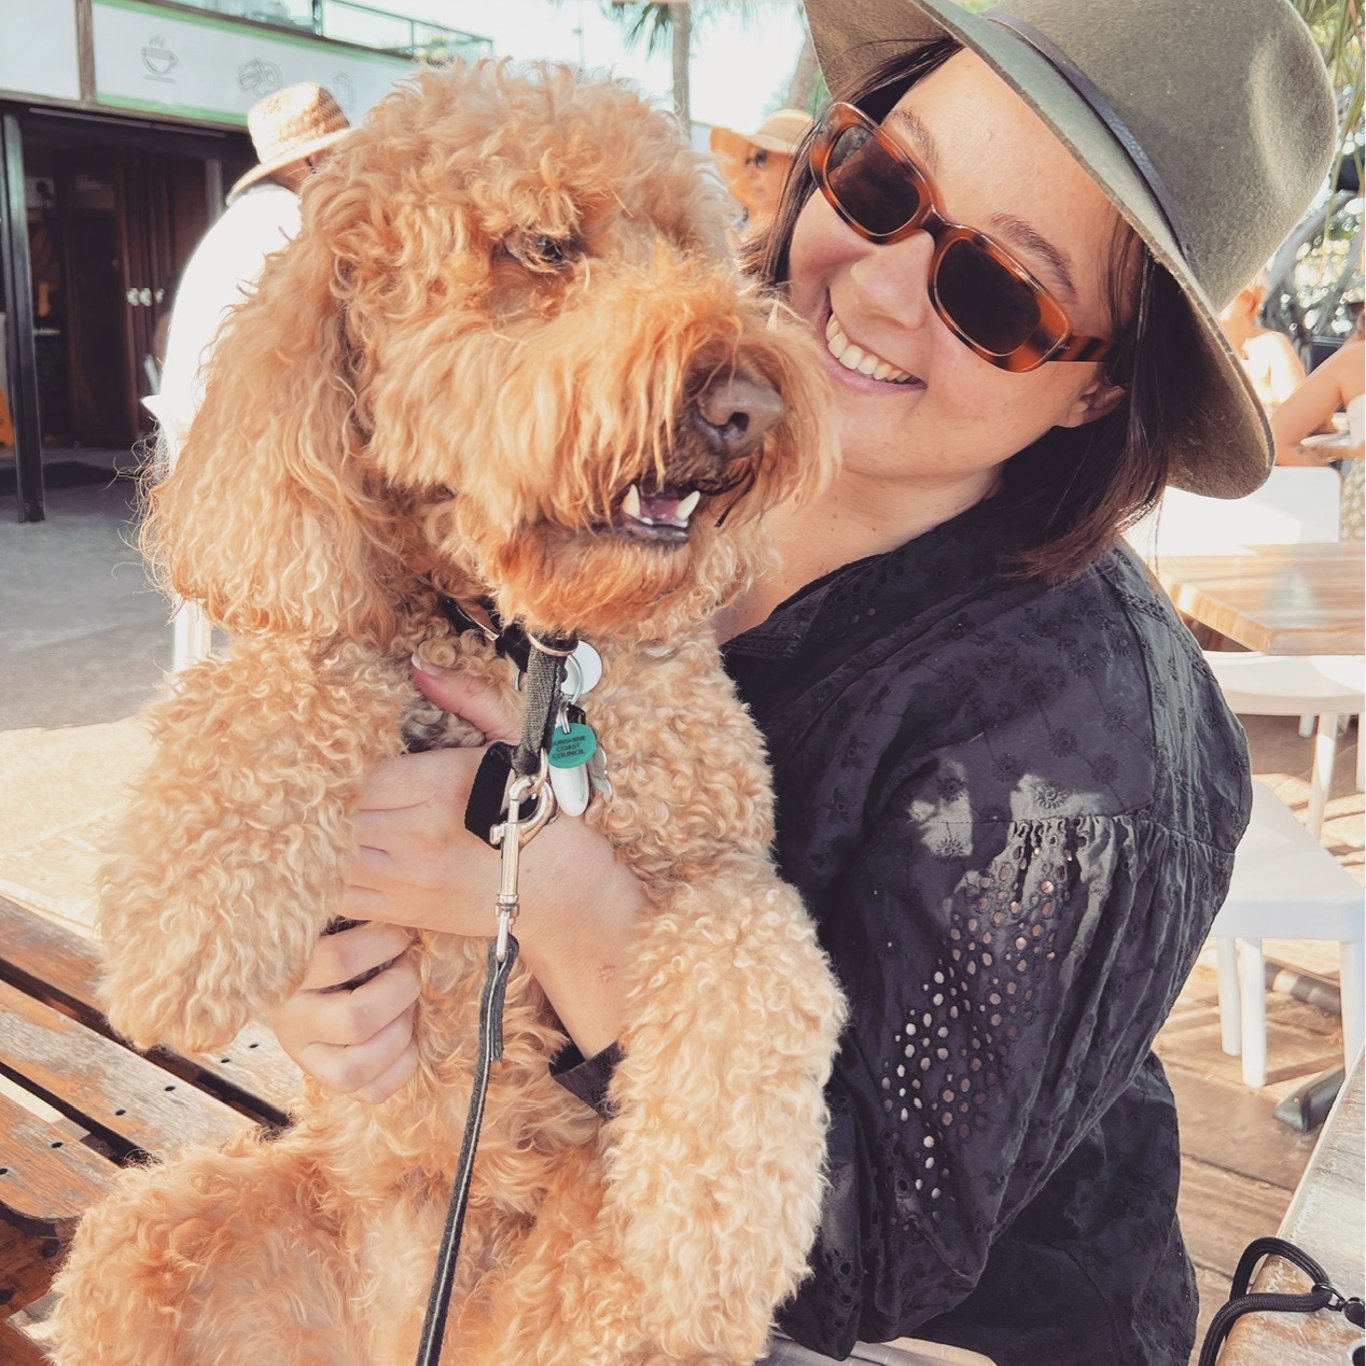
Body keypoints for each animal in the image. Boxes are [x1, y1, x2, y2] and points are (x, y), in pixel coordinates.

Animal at [46, 61, 845, 1365]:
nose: (747, 404)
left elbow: (756, 952)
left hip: (575, 1319)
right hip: (144, 1242)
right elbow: (284, 680)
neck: (530, 656)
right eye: (545, 244)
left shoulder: (719, 858)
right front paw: (185, 922)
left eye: (693, 242)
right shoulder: (342, 624)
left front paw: (716, 1223)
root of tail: (384, 1323)